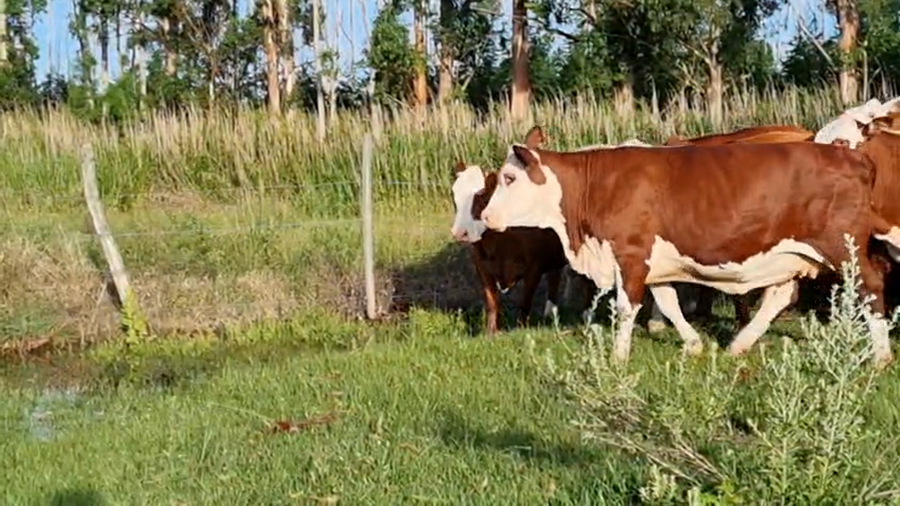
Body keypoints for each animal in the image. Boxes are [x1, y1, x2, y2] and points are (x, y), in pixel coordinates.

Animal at [450, 161, 567, 334]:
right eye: (454, 197)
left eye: (481, 197)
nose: (459, 232)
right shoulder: (482, 267)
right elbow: (491, 301)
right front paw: (490, 332)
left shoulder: (534, 267)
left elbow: (525, 302)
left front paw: (520, 329)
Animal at [478, 125, 900, 367]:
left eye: (510, 178)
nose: (485, 216)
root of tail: (852, 154)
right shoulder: (656, 262)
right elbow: (667, 302)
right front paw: (694, 344)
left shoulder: (631, 254)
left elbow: (627, 307)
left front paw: (618, 355)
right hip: (789, 252)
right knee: (781, 294)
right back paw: (740, 344)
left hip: (843, 247)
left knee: (870, 288)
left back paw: (880, 356)